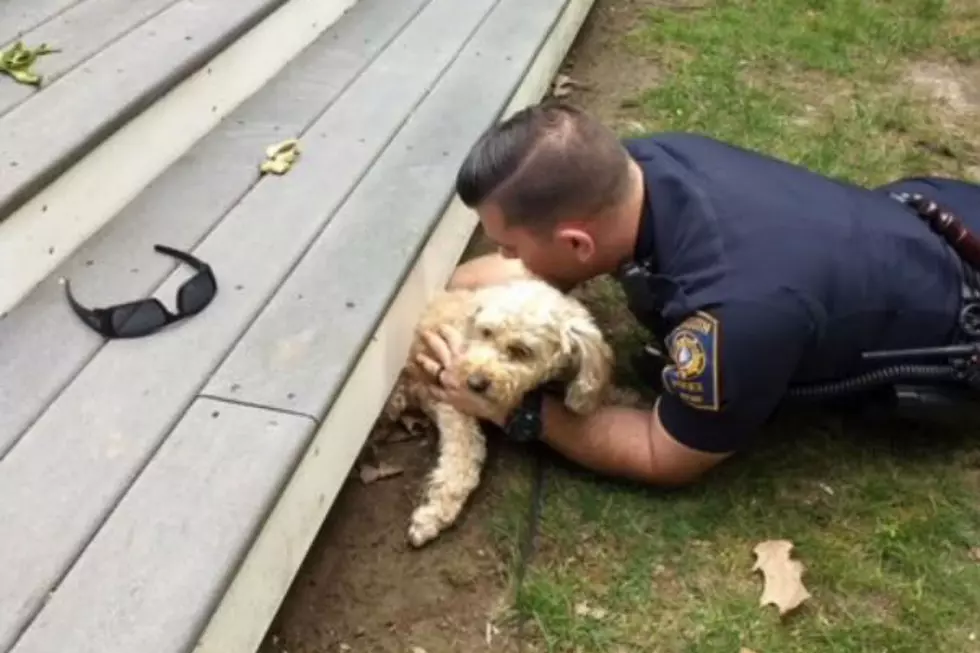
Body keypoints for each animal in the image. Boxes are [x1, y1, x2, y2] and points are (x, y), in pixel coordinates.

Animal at [382, 276, 612, 544]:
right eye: (486, 332)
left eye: (522, 351)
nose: (474, 382)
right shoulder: (451, 401)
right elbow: (463, 458)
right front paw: (434, 516)